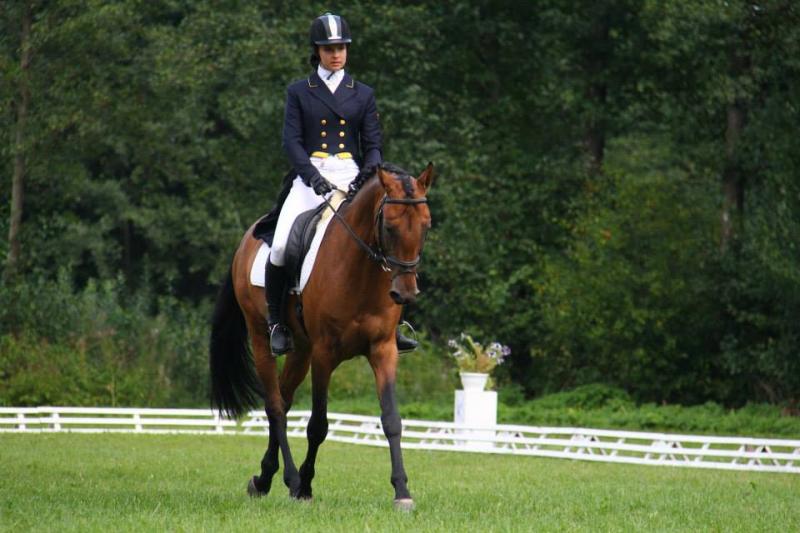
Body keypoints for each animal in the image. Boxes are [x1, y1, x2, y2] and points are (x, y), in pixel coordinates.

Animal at [209, 163, 434, 510]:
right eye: (389, 226)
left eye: (426, 226)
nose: (405, 293)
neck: (361, 272)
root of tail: (247, 238)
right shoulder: (324, 354)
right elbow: (318, 425)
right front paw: (305, 486)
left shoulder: (383, 350)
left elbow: (392, 420)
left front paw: (402, 491)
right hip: (261, 338)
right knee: (275, 406)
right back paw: (289, 478)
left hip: (300, 351)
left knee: (284, 399)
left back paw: (264, 478)